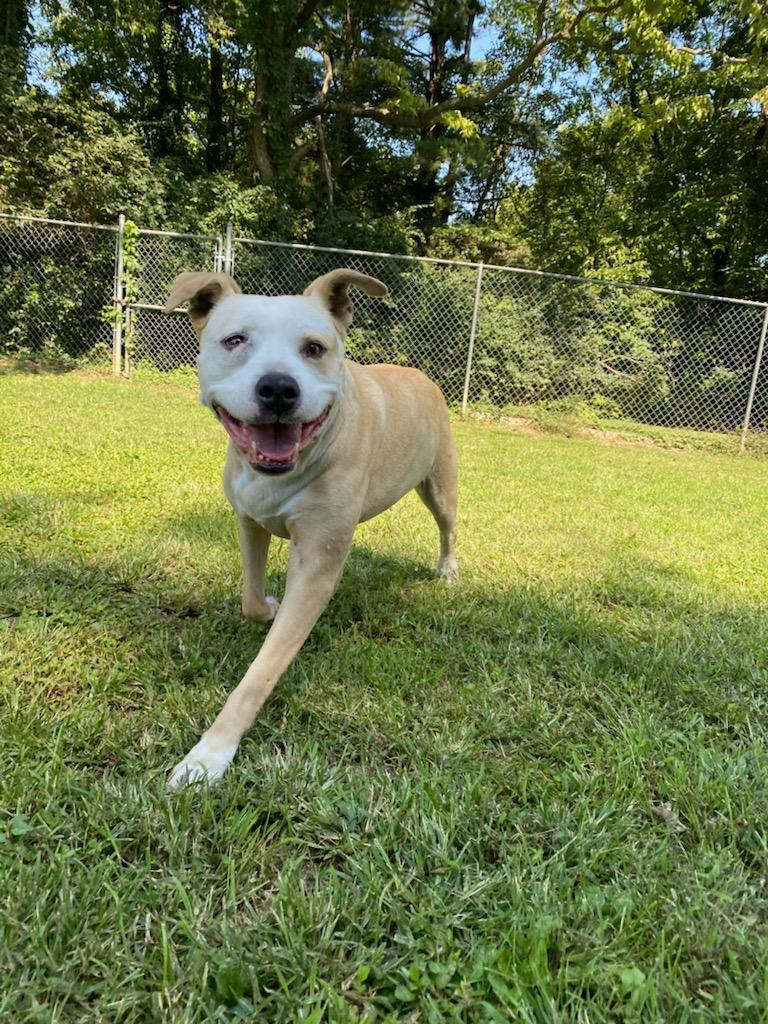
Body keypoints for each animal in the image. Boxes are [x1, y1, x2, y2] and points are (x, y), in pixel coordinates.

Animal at [163, 268, 456, 786]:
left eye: (314, 348)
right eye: (235, 340)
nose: (279, 388)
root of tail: (418, 374)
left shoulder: (318, 559)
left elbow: (260, 673)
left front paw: (209, 755)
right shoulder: (249, 521)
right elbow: (250, 599)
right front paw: (269, 607)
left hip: (440, 483)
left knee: (449, 527)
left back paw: (448, 568)